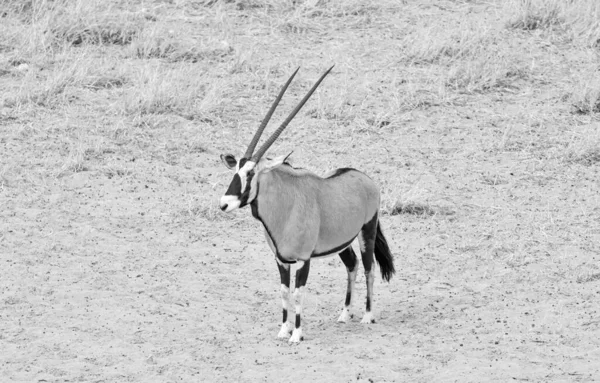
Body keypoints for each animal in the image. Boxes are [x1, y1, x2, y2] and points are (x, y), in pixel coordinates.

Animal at [219, 66, 394, 344]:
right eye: (235, 171)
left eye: (251, 173)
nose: (224, 204)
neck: (284, 209)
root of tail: (365, 178)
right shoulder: (281, 260)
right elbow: (283, 291)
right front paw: (283, 330)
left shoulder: (303, 260)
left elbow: (298, 293)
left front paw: (297, 334)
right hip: (342, 242)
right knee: (352, 264)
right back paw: (344, 313)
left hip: (367, 231)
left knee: (369, 268)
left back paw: (367, 315)